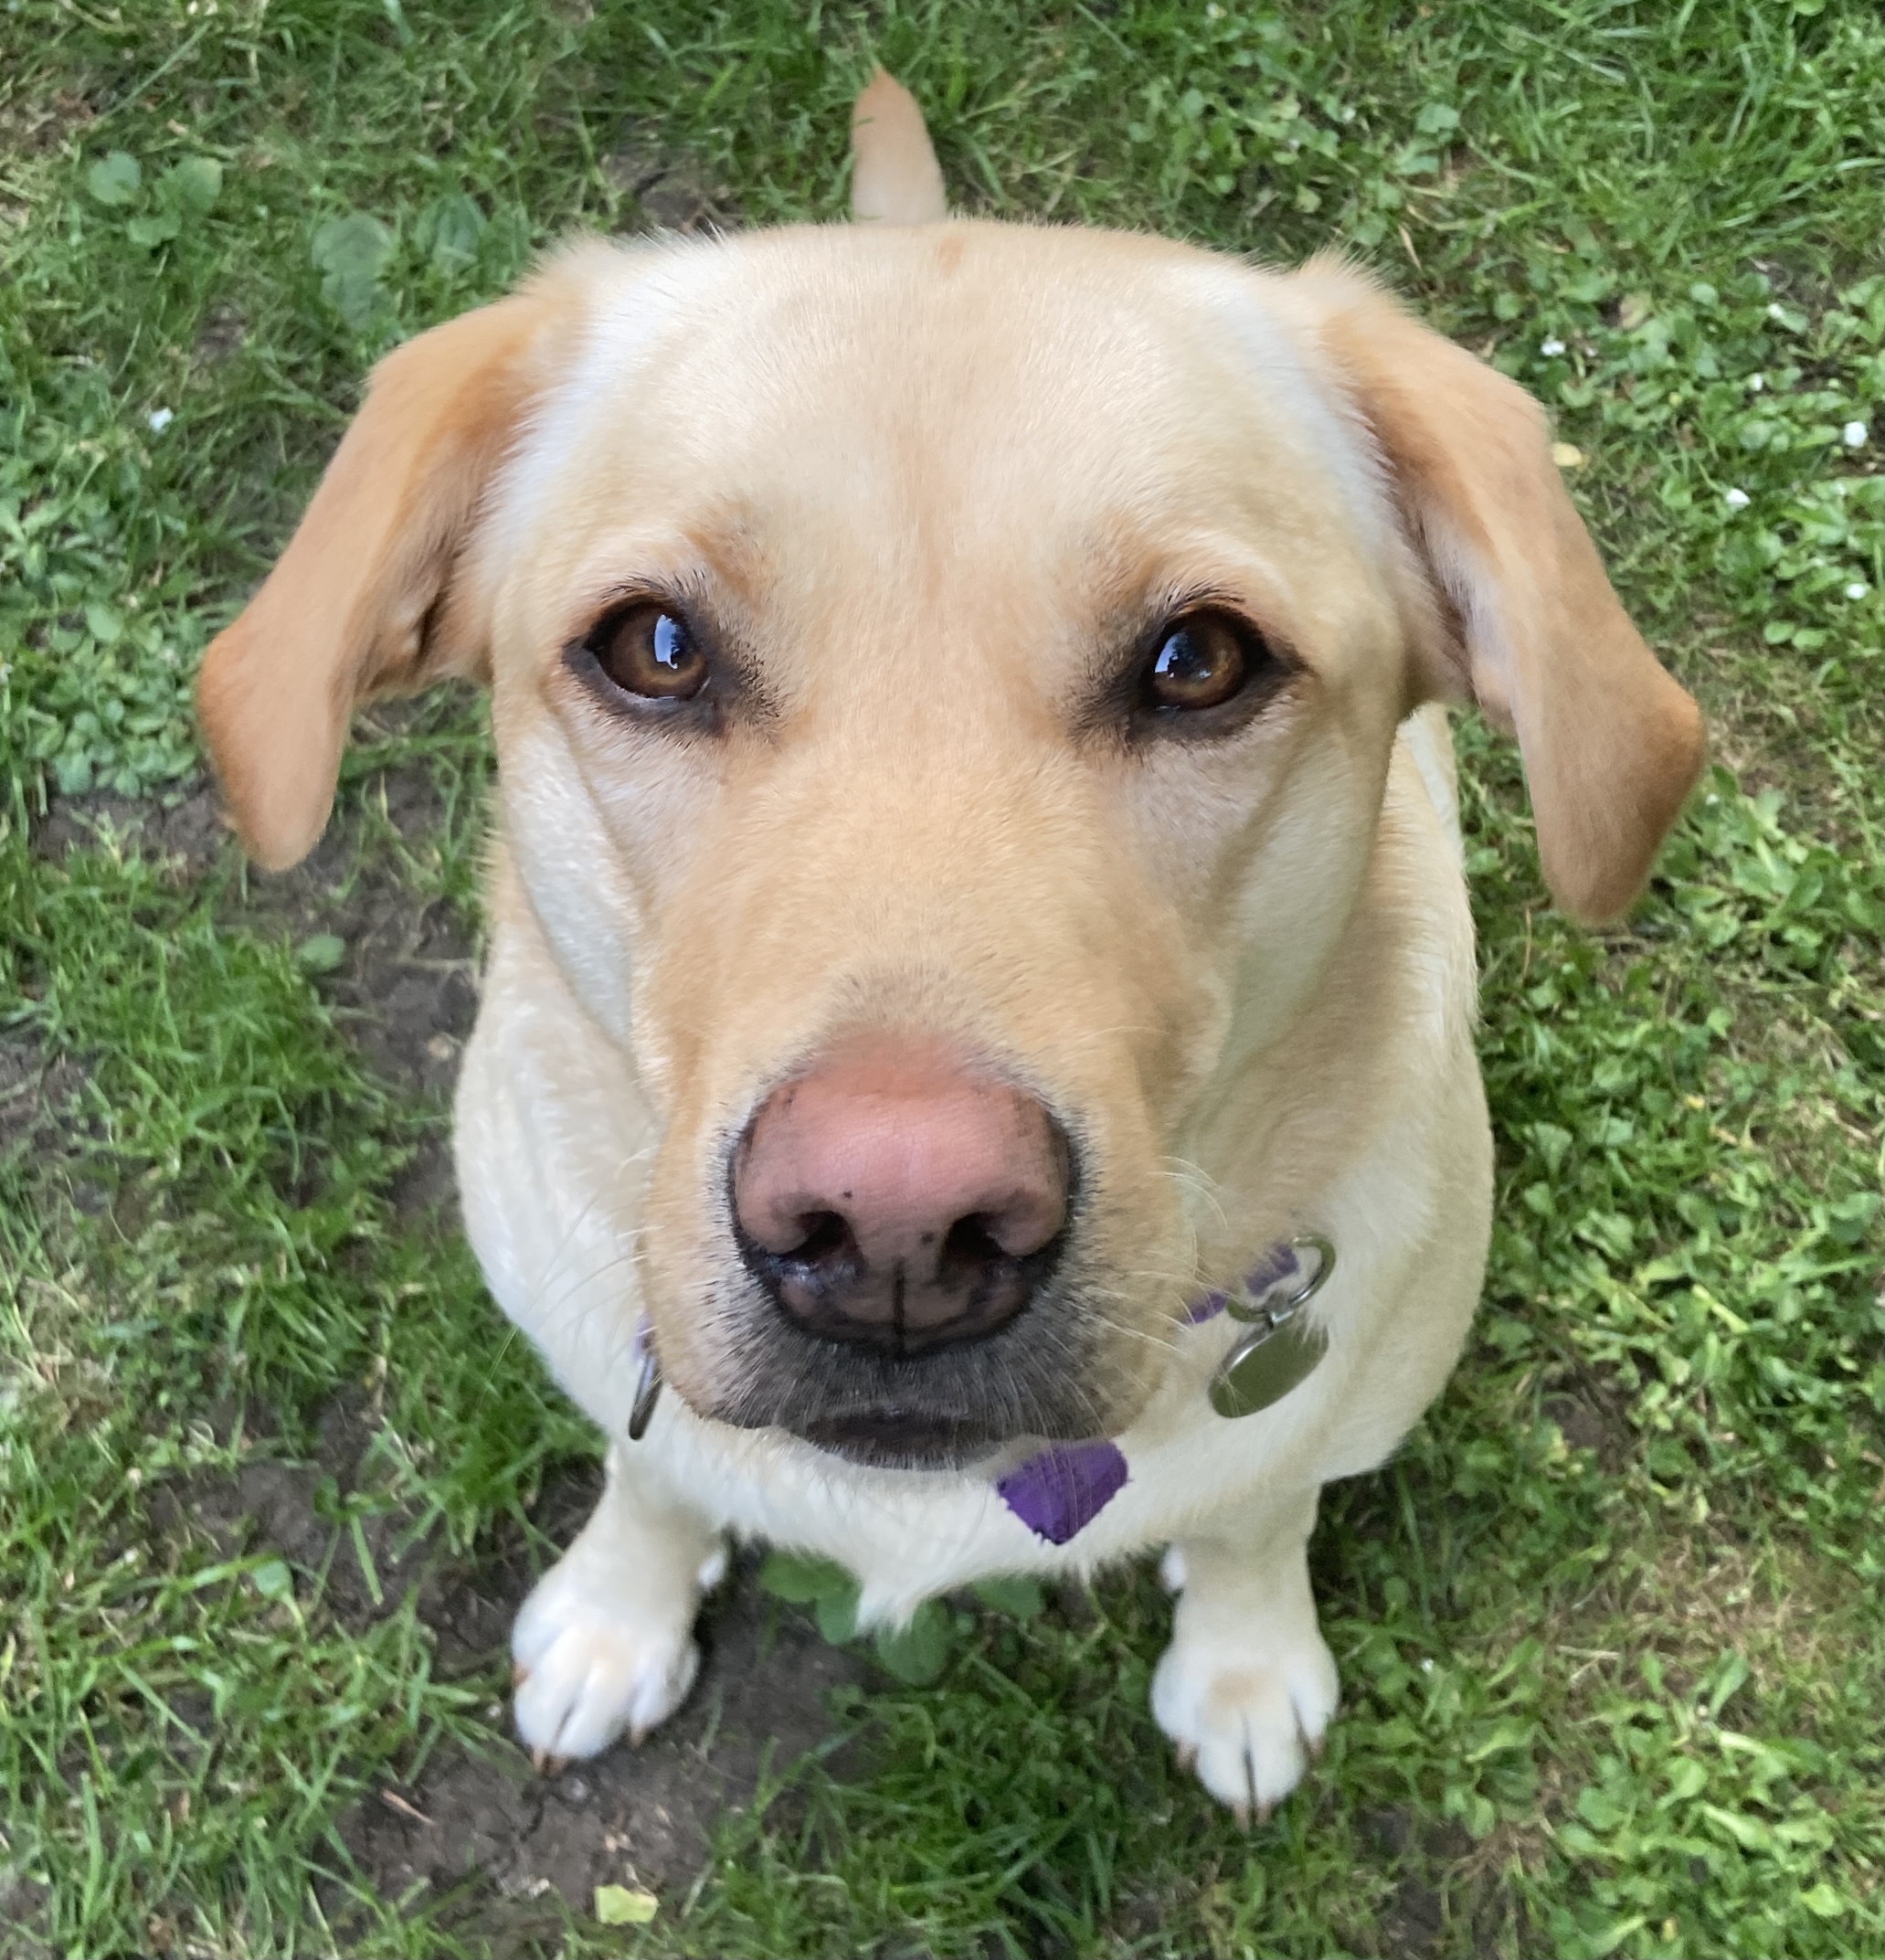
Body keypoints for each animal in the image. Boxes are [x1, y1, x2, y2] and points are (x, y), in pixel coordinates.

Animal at [197, 79, 1700, 1818]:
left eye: (1199, 662)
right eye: (654, 647)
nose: (897, 1228)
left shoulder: (1316, 1423)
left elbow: (1253, 1518)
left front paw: (1245, 1664)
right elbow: (651, 1473)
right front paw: (615, 1613)